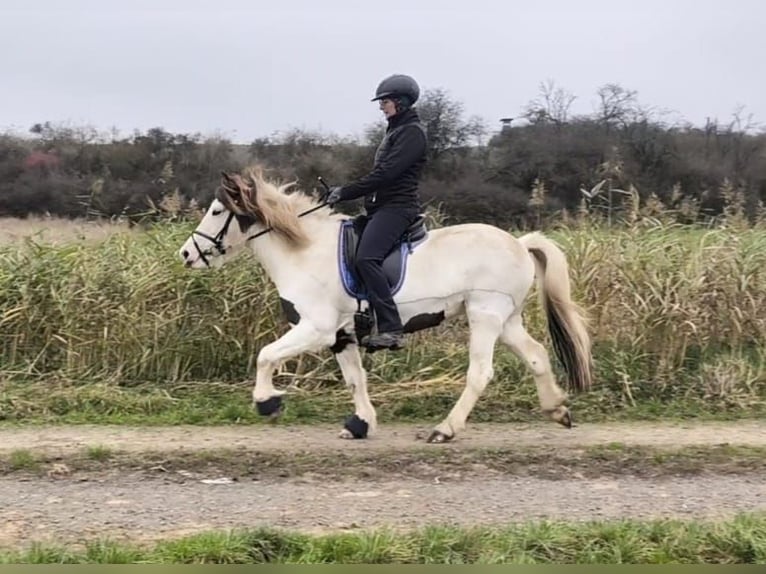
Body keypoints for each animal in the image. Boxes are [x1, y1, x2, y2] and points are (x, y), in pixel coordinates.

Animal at [178, 168, 592, 446]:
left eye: (217, 211)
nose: (186, 255)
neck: (305, 250)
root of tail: (520, 244)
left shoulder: (317, 328)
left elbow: (266, 355)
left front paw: (268, 402)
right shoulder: (341, 335)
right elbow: (354, 379)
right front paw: (360, 424)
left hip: (485, 315)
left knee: (480, 372)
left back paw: (444, 430)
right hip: (507, 320)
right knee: (536, 356)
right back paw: (558, 410)